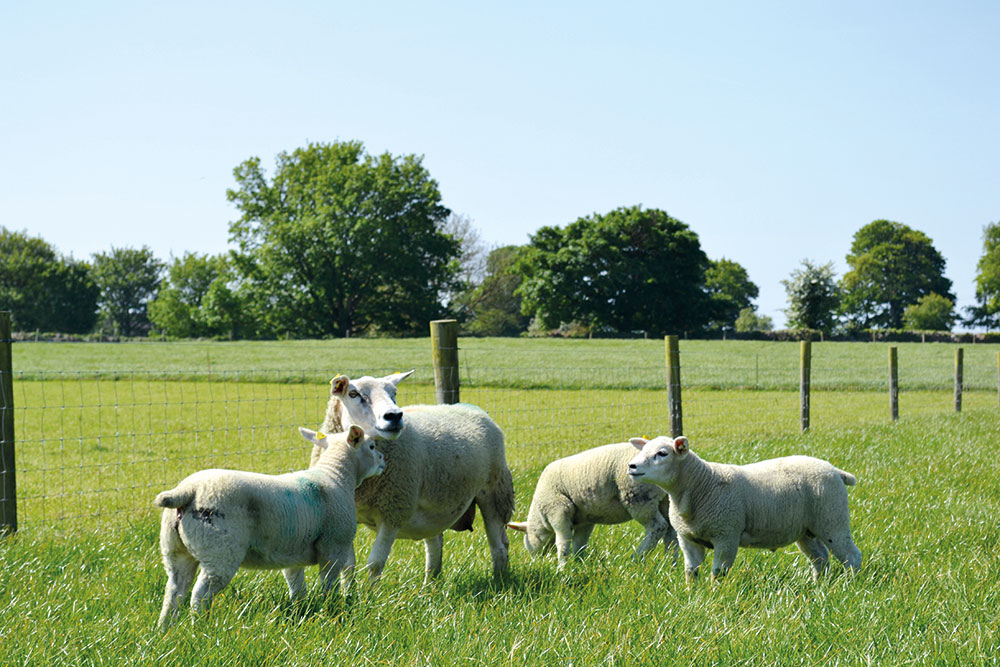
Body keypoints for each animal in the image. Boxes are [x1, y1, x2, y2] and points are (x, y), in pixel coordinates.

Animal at [155, 425, 384, 628]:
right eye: (372, 446)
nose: (383, 460)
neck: (336, 476)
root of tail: (187, 491)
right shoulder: (333, 547)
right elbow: (329, 585)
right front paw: (332, 610)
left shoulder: (293, 553)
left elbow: (297, 587)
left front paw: (300, 613)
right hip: (219, 550)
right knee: (200, 594)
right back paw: (200, 628)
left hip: (175, 550)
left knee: (174, 591)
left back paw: (165, 630)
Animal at [313, 372, 514, 582]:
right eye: (353, 393)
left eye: (394, 392)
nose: (394, 416)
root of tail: (472, 408)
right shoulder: (346, 515)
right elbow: (347, 566)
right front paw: (350, 591)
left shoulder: (393, 513)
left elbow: (375, 564)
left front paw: (369, 591)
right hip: (435, 508)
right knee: (435, 545)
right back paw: (429, 586)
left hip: (494, 492)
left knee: (499, 547)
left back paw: (499, 582)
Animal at [507, 442, 677, 568]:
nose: (536, 562)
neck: (540, 515)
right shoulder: (584, 520)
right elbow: (579, 543)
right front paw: (578, 563)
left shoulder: (558, 510)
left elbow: (563, 541)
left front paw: (562, 567)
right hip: (665, 500)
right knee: (671, 529)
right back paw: (671, 563)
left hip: (638, 496)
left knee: (658, 526)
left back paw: (636, 558)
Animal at [627, 435, 862, 583]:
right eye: (644, 450)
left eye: (662, 453)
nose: (631, 466)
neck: (701, 484)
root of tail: (836, 471)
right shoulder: (687, 539)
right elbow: (691, 572)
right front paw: (691, 597)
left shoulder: (727, 534)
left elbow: (718, 572)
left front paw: (715, 598)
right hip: (806, 530)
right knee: (820, 558)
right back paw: (817, 587)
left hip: (832, 519)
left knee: (851, 556)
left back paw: (850, 585)